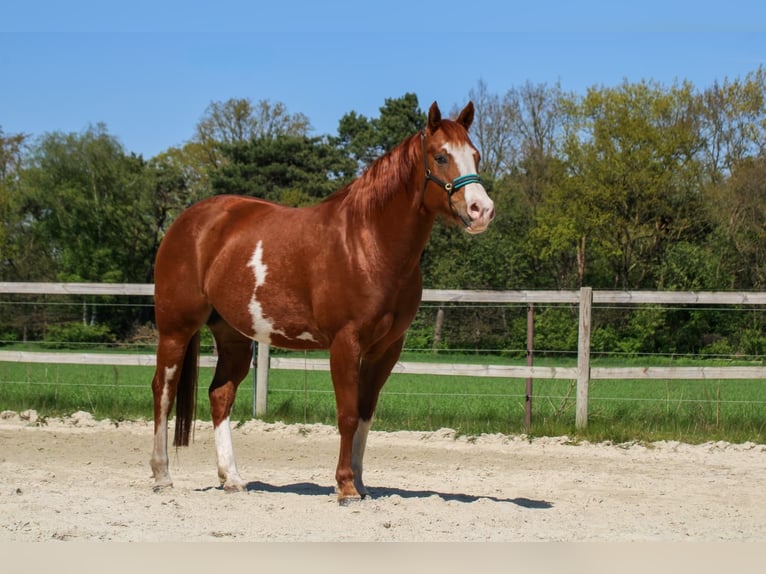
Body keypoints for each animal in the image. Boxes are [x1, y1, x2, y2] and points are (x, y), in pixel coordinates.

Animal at [149, 101, 495, 503]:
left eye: (475, 155)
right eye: (441, 156)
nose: (481, 210)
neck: (368, 242)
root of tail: (187, 221)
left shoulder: (385, 349)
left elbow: (365, 413)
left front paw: (360, 482)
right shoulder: (345, 342)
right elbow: (346, 414)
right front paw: (345, 486)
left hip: (233, 335)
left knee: (220, 395)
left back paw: (233, 478)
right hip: (176, 328)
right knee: (163, 391)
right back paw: (161, 475)